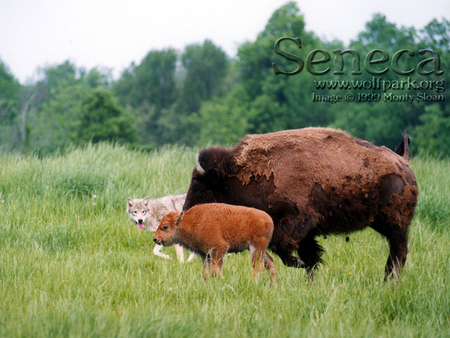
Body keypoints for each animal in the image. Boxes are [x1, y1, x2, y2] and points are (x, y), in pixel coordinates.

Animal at [182, 127, 418, 280]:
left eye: (197, 184)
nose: (186, 212)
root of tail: (402, 161)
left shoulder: (298, 221)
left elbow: (282, 246)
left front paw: (300, 265)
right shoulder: (306, 233)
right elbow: (309, 254)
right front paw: (310, 275)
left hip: (395, 224)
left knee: (399, 252)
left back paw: (390, 280)